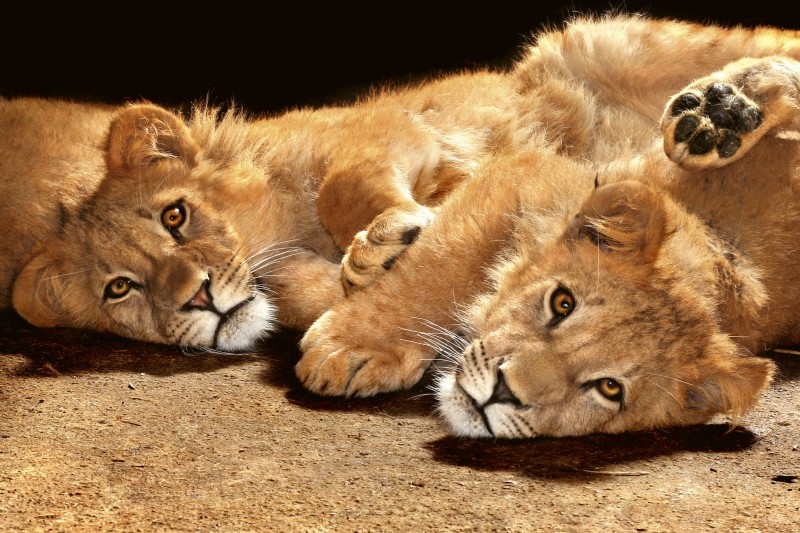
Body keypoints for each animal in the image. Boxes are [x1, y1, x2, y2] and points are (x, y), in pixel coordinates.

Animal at [4, 14, 799, 355]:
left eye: (175, 216)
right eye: (120, 289)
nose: (197, 297)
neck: (273, 235)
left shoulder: (395, 125)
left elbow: (349, 186)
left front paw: (391, 236)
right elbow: (319, 293)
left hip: (589, 41)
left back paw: (720, 112)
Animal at [296, 51, 800, 439]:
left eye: (609, 388)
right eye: (563, 303)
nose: (502, 393)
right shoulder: (527, 171)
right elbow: (437, 266)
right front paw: (350, 344)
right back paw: (719, 114)